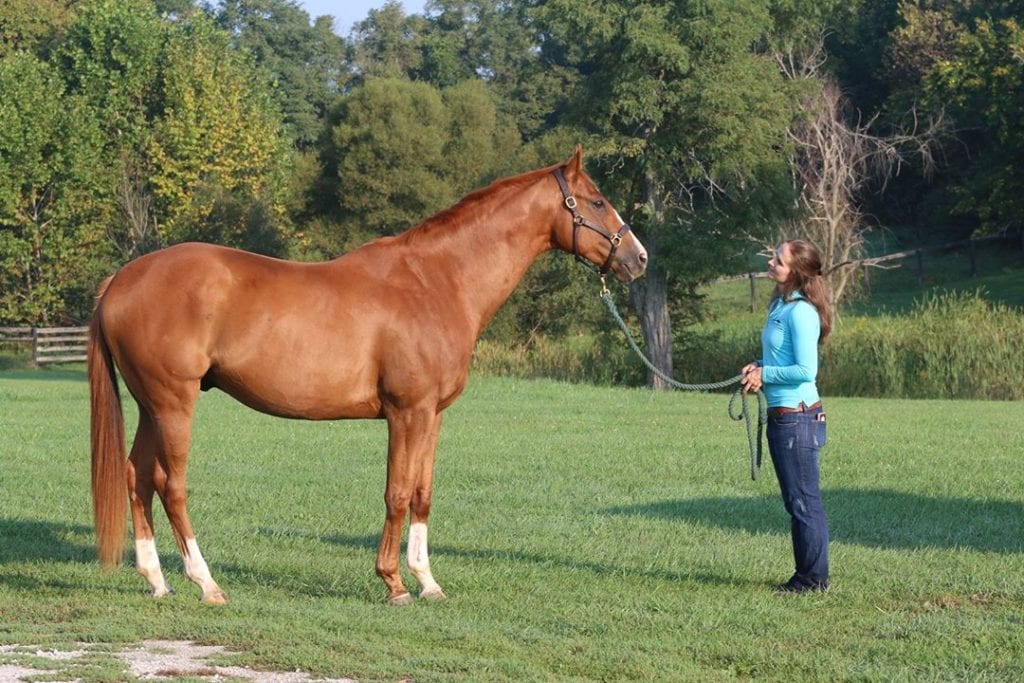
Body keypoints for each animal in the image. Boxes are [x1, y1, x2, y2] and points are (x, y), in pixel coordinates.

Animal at [90, 148, 647, 602]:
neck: (436, 280)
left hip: (151, 406)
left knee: (136, 476)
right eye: (596, 201)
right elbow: (396, 494)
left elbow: (422, 493)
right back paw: (205, 583)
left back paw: (157, 581)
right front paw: (394, 583)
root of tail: (121, 278)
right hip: (174, 404)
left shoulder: (432, 415)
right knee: (171, 485)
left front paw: (427, 581)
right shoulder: (406, 412)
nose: (638, 258)